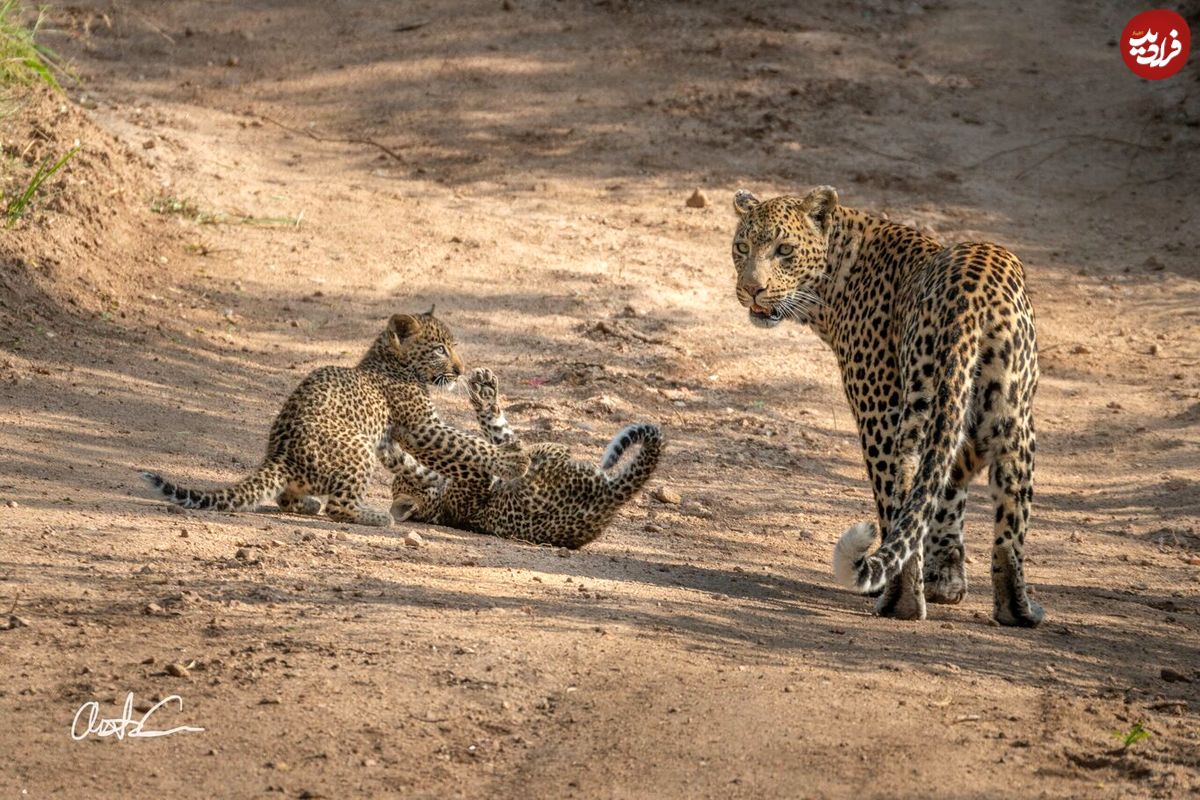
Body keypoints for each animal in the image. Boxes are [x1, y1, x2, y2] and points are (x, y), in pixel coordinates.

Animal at [724, 185, 1046, 623]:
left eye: (784, 250)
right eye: (742, 247)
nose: (751, 289)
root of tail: (973, 298)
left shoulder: (878, 402)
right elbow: (946, 495)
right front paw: (946, 583)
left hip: (905, 413)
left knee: (898, 492)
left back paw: (899, 600)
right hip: (1010, 415)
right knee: (1009, 522)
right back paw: (1017, 610)